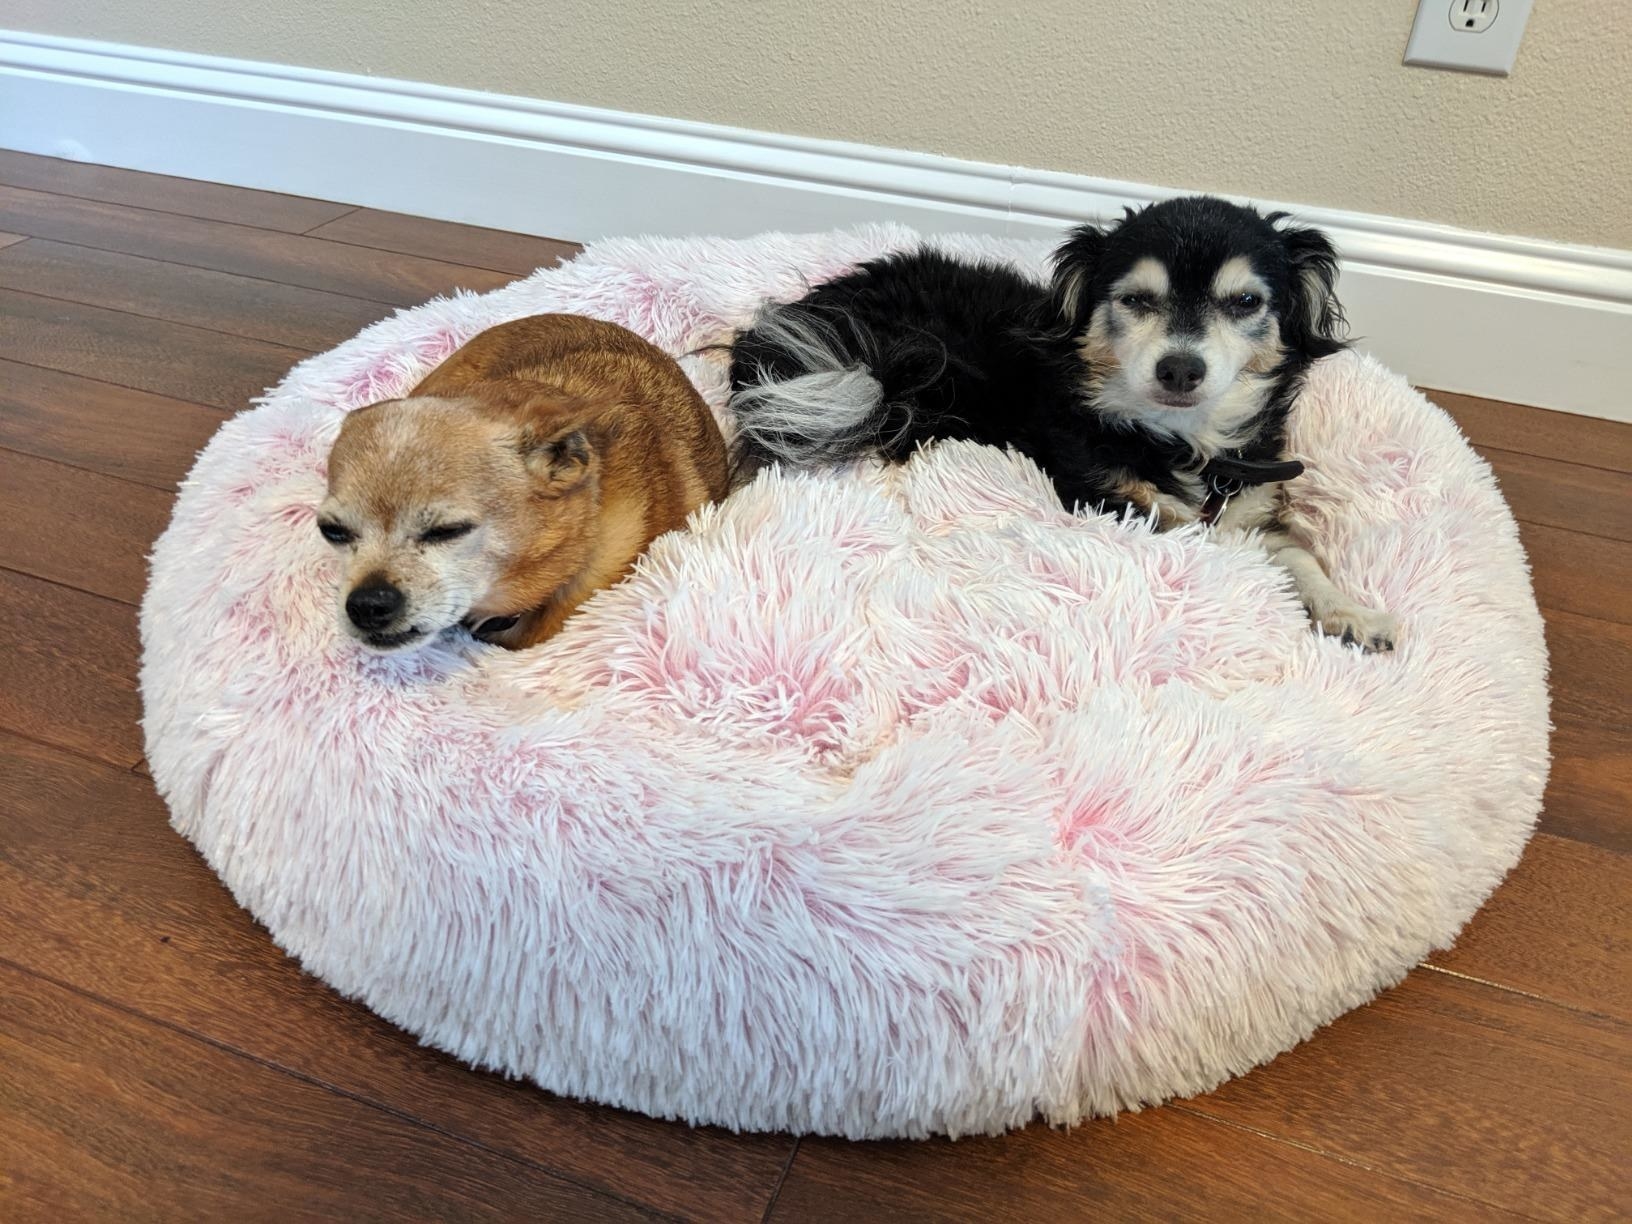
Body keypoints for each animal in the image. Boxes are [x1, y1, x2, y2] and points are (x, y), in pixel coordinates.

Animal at [734, 196, 1396, 652]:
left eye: (1246, 303)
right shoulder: (1093, 484)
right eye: (1135, 300)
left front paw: (1352, 613)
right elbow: (1179, 522)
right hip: (916, 367)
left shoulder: (1255, 504)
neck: (1177, 436)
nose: (1181, 367)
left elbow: (1299, 554)